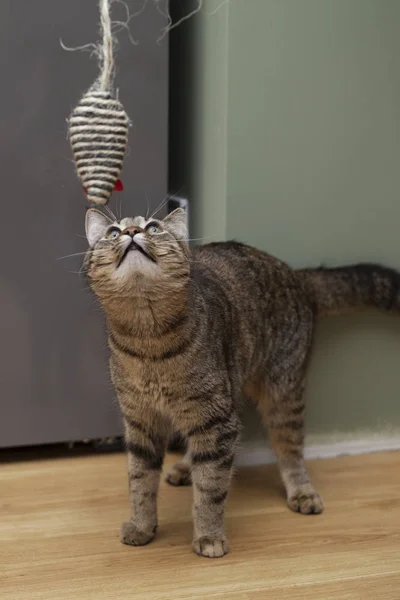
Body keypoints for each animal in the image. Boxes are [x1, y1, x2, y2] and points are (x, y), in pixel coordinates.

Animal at [83, 206, 398, 556]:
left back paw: (301, 490)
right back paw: (185, 467)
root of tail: (296, 275)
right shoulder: (141, 422)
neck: (148, 341)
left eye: (153, 228)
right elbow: (140, 483)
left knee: (291, 450)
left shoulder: (217, 421)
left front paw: (209, 535)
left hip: (281, 394)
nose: (132, 232)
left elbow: (211, 487)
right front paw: (142, 526)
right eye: (112, 232)